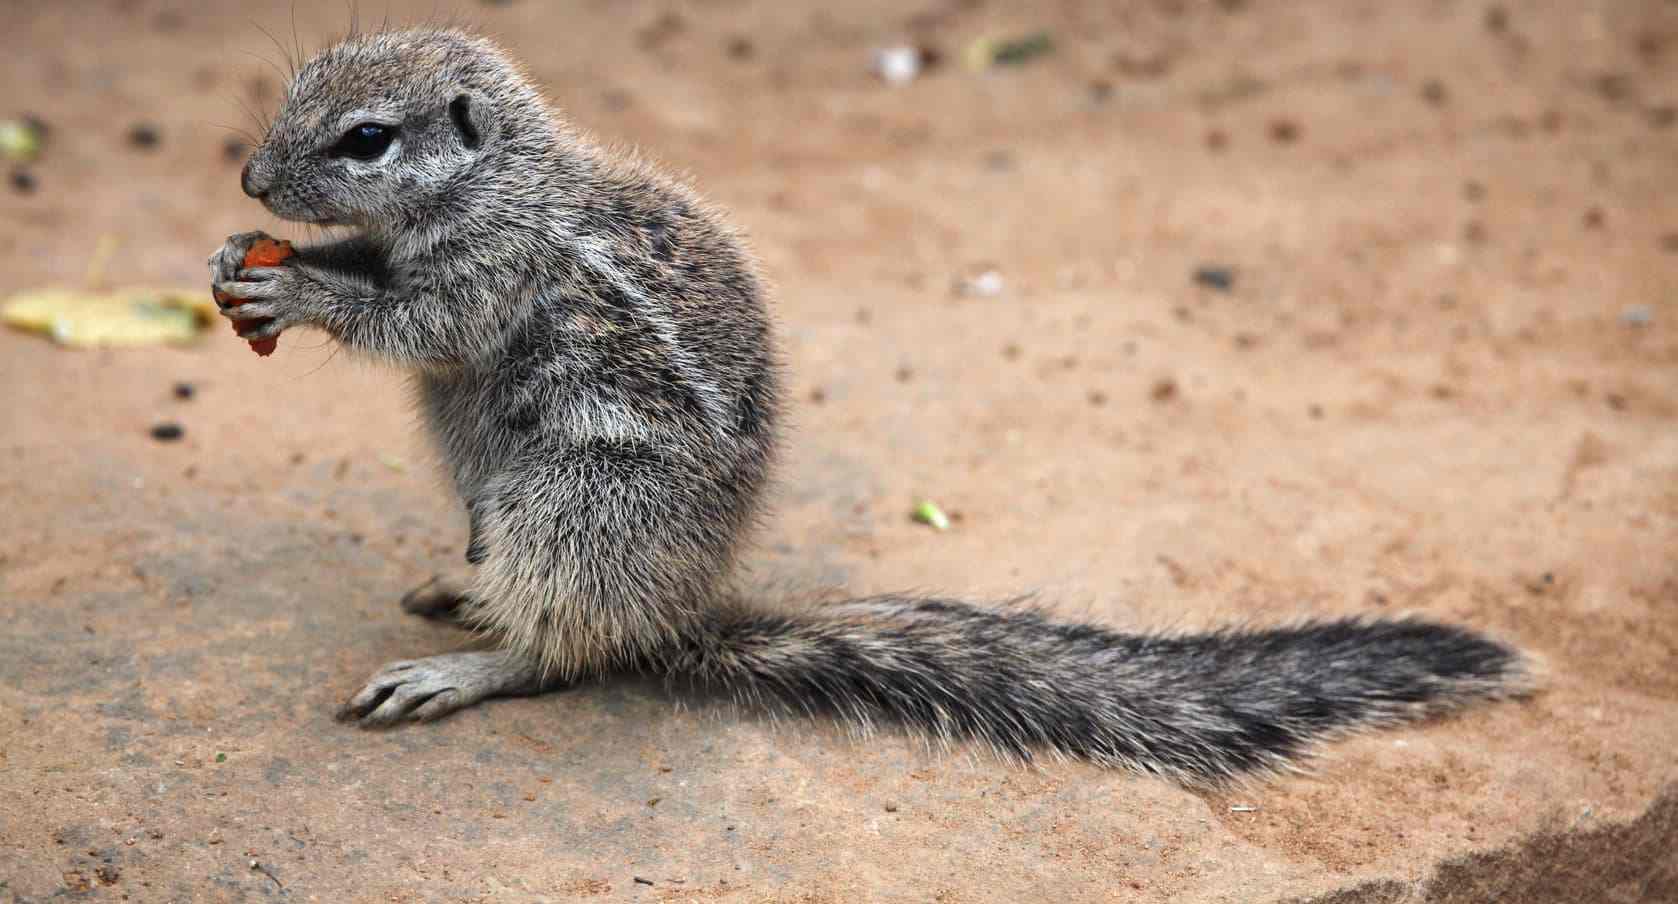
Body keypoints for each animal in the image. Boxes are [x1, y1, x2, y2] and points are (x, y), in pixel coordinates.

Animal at [210, 26, 1533, 784]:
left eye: (366, 137)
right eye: (297, 94)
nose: (255, 178)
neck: (495, 181)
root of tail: (679, 611)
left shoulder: (495, 267)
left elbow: (416, 322)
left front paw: (301, 289)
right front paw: (247, 258)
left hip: (577, 497)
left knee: (564, 648)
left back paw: (471, 660)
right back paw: (464, 586)